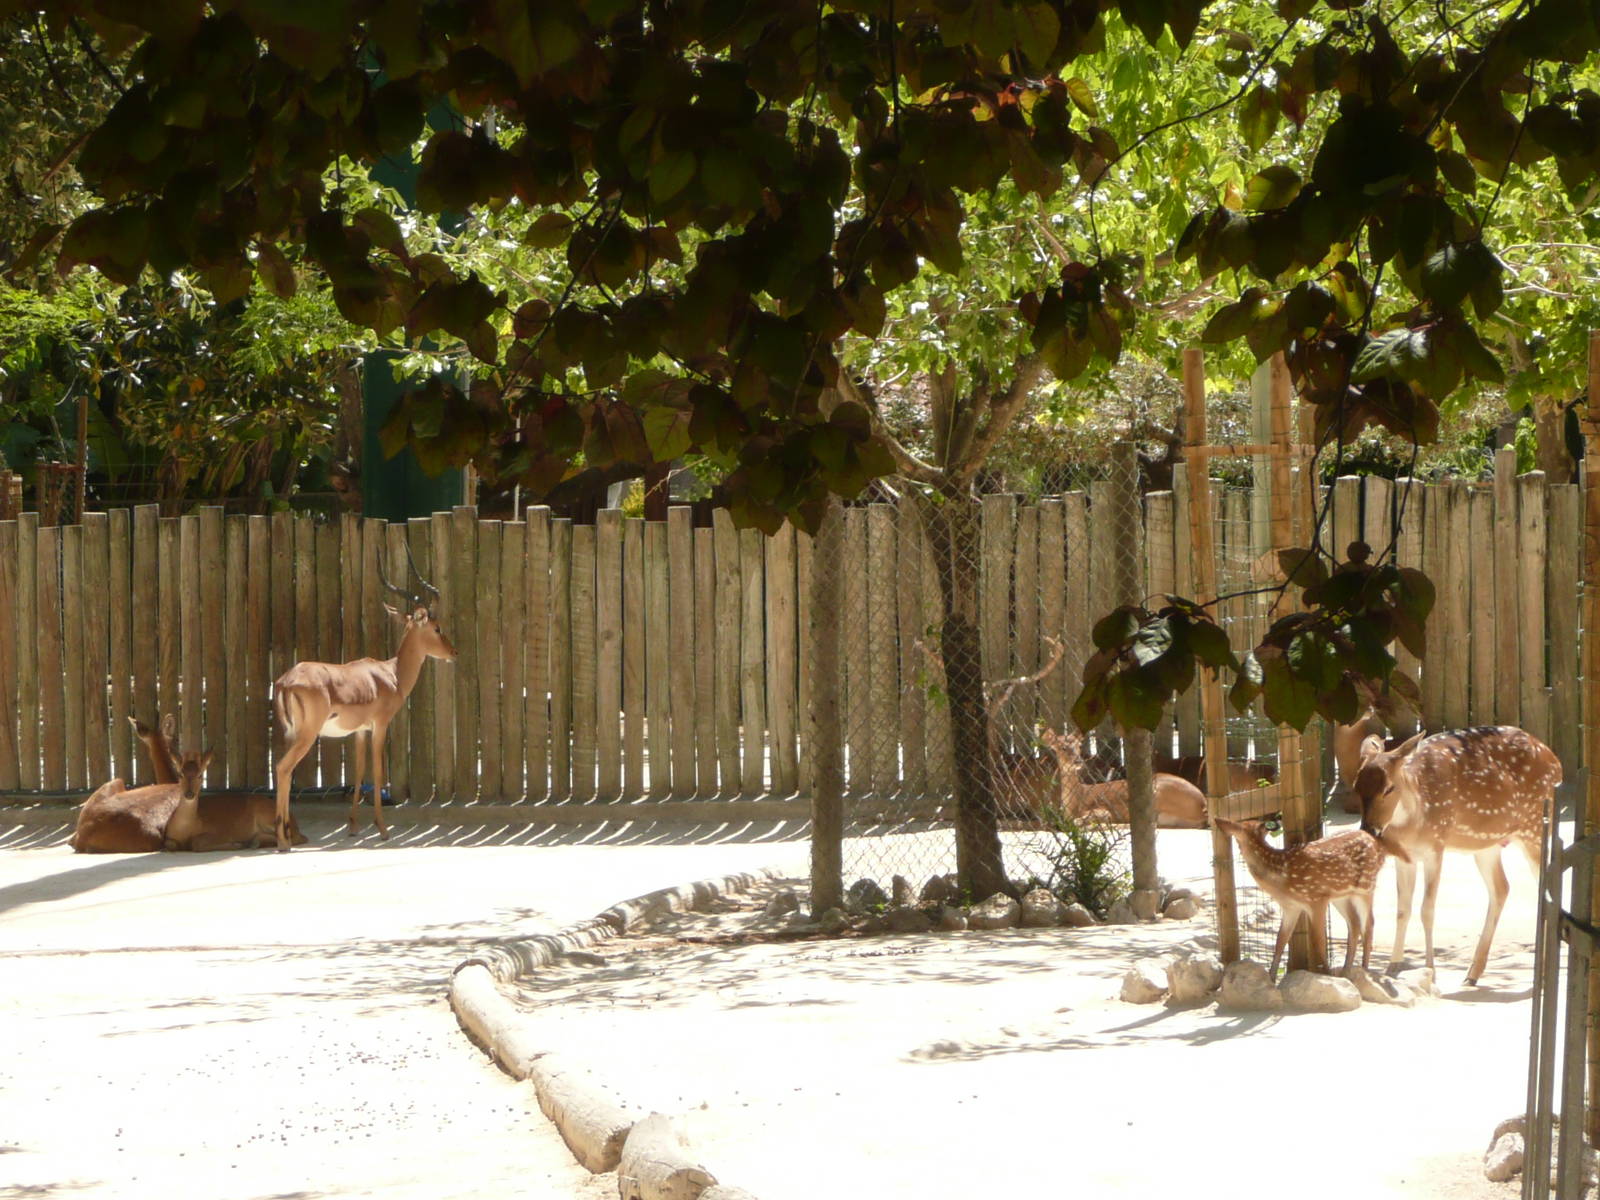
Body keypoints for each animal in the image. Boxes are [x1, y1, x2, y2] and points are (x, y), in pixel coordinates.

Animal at [272, 548, 455, 848]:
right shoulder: (380, 726)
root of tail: (285, 681)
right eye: (437, 628)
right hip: (307, 735)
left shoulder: (358, 731)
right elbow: (379, 772)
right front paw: (382, 829)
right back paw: (283, 842)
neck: (392, 673)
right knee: (283, 769)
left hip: (291, 734)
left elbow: (358, 772)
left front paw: (353, 826)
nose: (453, 652)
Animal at [1039, 729, 1209, 828]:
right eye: (1062, 747)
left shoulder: (1101, 809)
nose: (1078, 761)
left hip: (1159, 793)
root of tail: (1203, 805)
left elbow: (1083, 820)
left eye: (1079, 746)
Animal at [1214, 817, 1409, 978]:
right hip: (1341, 895)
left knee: (1368, 923)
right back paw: (1346, 971)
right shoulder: (1291, 907)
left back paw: (1365, 969)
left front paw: (1327, 974)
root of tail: (1378, 844)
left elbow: (1318, 941)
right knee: (1354, 924)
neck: (1282, 877)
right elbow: (1280, 940)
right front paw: (1271, 978)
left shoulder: (1316, 899)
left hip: (1365, 887)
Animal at [1355, 725, 1559, 986]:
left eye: (1389, 788)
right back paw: (1472, 973)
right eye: (1356, 786)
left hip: (1535, 829)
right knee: (1501, 887)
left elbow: (1427, 909)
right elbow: (1402, 911)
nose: (1369, 829)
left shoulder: (1436, 846)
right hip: (1487, 845)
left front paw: (1430, 971)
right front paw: (1392, 967)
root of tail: (1556, 762)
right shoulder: (1404, 857)